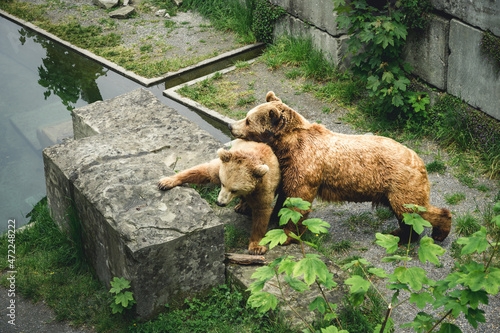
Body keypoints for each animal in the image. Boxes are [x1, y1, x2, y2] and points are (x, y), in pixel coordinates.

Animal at [229, 92, 452, 243]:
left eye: (248, 120)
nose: (231, 126)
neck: (286, 146)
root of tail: (418, 159)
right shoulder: (288, 166)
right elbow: (285, 193)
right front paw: (272, 214)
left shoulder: (306, 165)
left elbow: (299, 198)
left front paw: (289, 234)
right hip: (391, 189)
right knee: (408, 213)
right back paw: (403, 234)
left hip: (400, 181)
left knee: (412, 209)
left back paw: (439, 230)